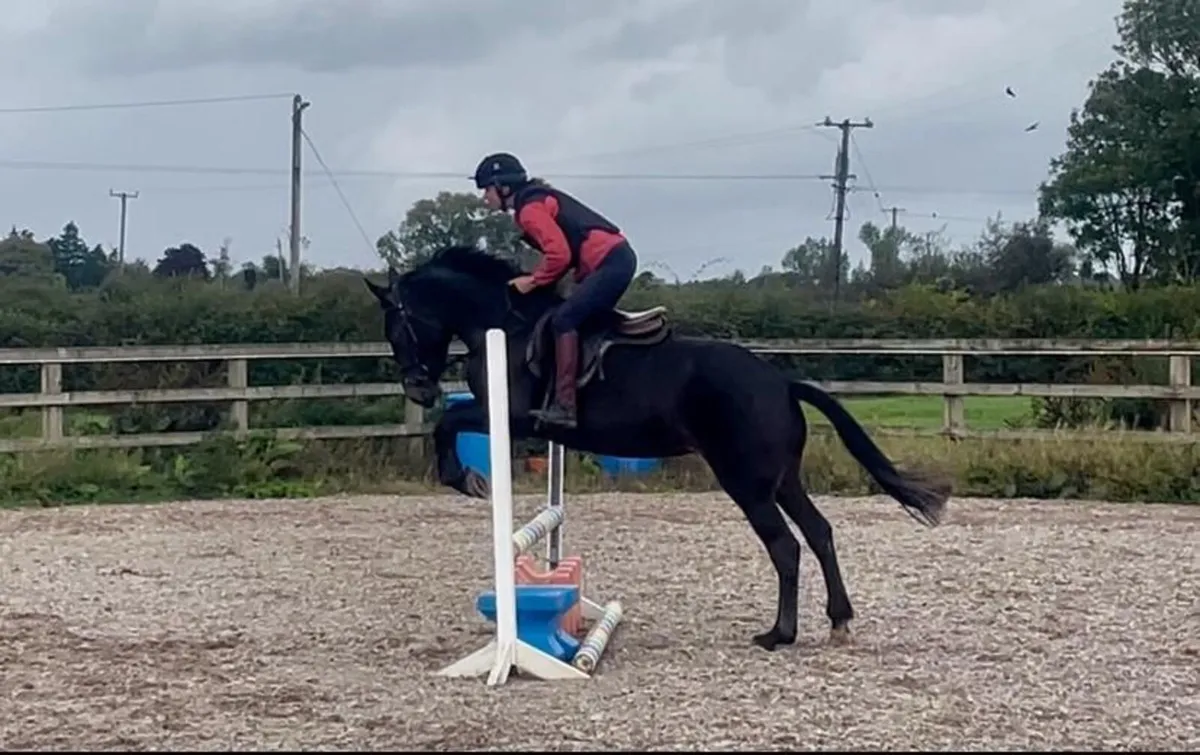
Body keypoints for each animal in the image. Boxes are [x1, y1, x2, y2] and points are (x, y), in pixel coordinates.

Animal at [364, 244, 950, 651]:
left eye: (399, 326)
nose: (418, 389)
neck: (504, 326)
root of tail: (781, 382)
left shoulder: (508, 416)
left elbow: (448, 423)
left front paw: (466, 479)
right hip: (781, 479)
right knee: (820, 532)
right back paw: (839, 621)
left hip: (746, 482)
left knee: (785, 545)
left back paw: (778, 634)